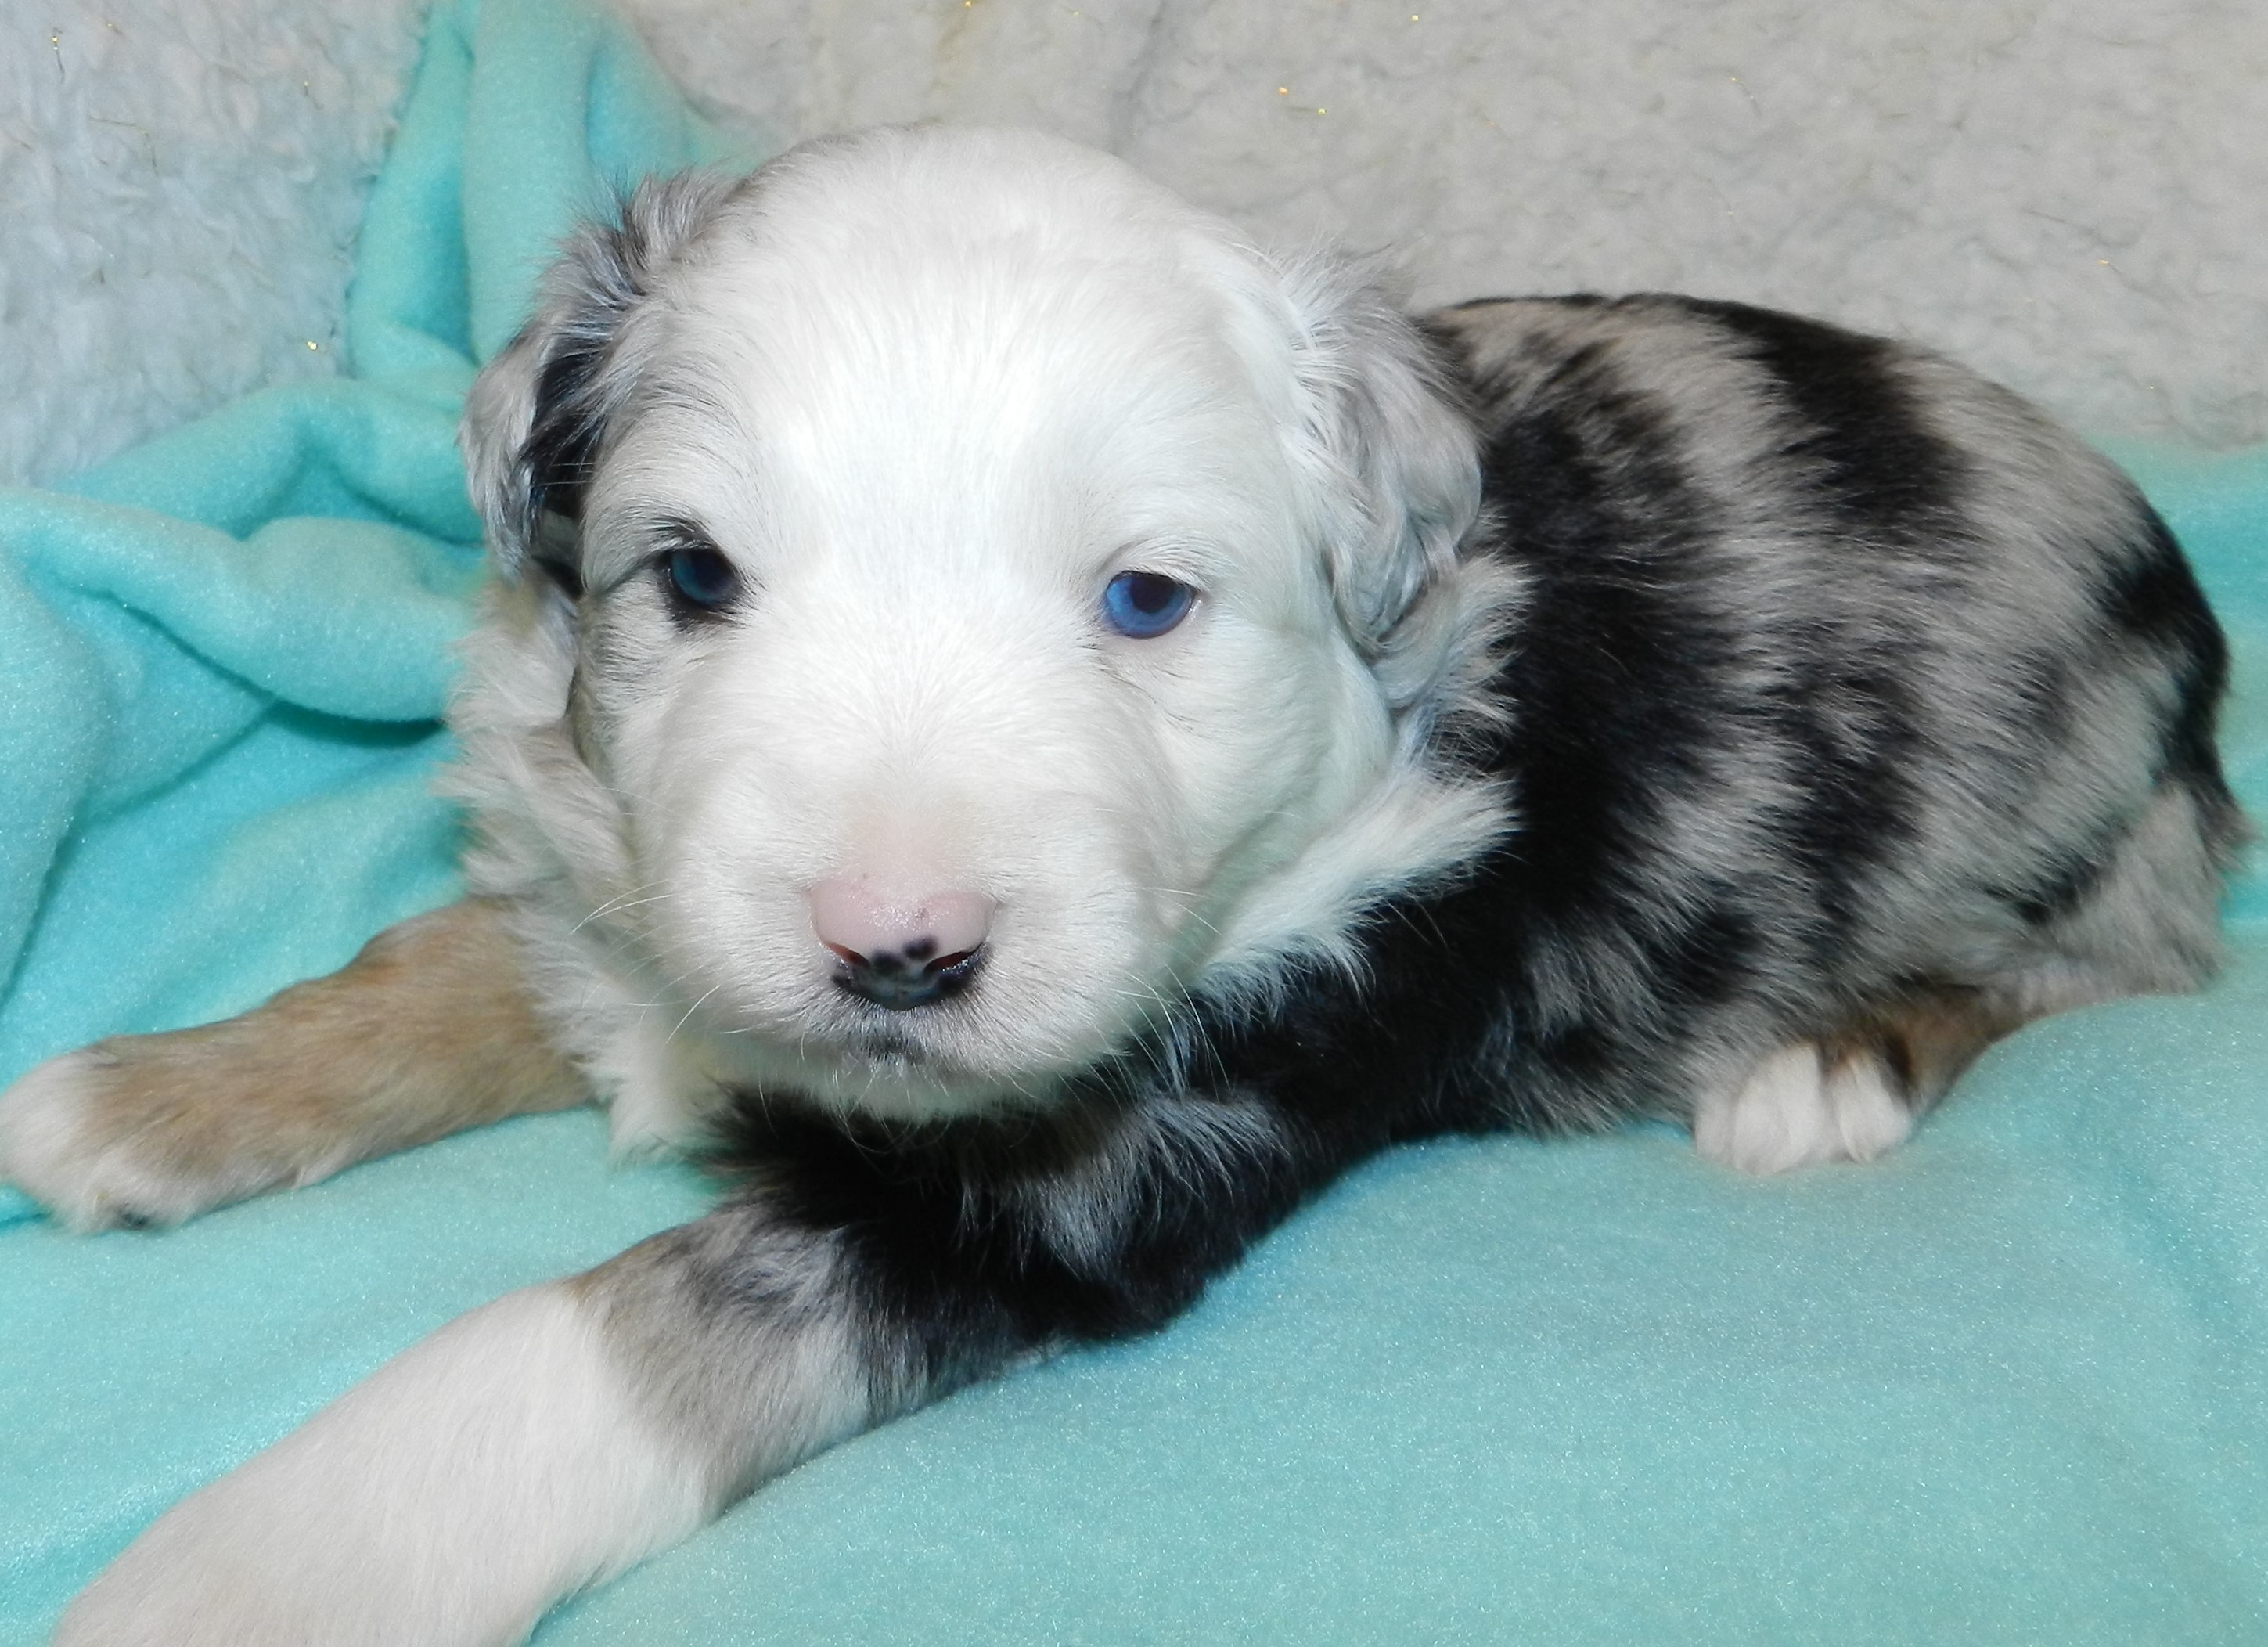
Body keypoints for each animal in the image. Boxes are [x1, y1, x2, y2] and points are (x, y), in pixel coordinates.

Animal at [0, 125, 2243, 1645]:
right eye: (694, 575)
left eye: (1146, 602)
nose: (897, 956)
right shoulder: (634, 892)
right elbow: (462, 955)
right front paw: (147, 1093)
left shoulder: (1081, 1181)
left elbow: (579, 1348)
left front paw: (231, 1576)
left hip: (2088, 823)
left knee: (2105, 973)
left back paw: (1830, 1061)